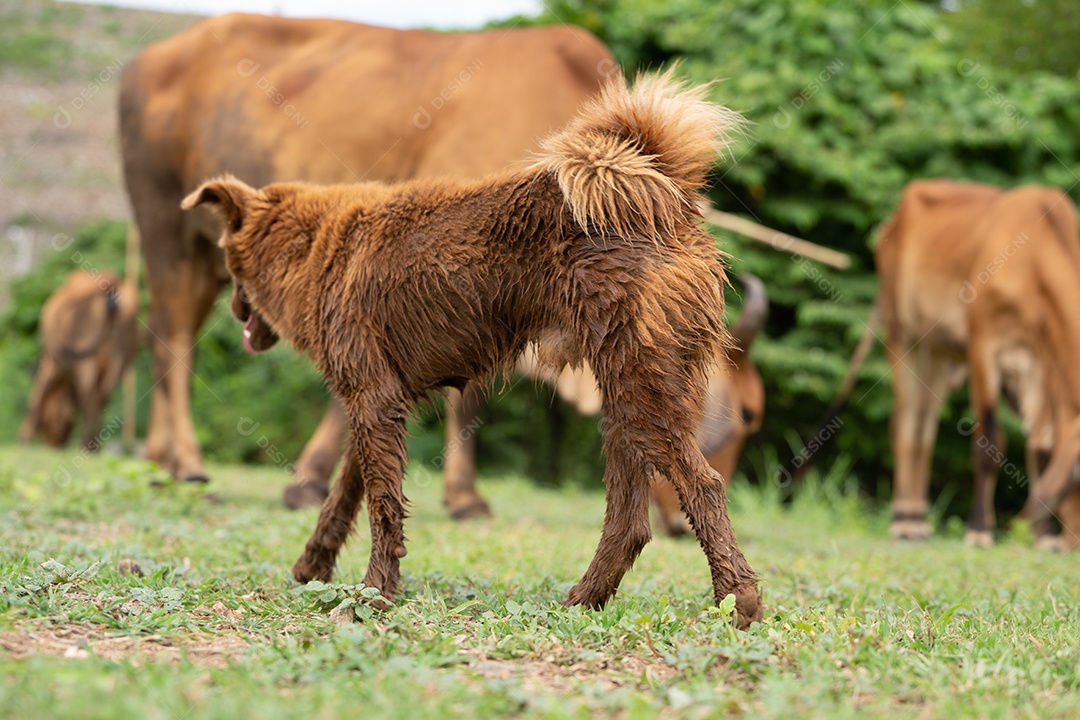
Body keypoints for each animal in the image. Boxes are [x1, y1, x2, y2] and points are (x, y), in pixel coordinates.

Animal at [19, 269, 139, 451]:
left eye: (45, 423)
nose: (53, 444)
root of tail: (111, 282)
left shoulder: (51, 366)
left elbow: (35, 401)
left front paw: (21, 441)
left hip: (83, 361)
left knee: (90, 398)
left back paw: (86, 445)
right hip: (118, 361)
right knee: (99, 400)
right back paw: (93, 446)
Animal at [185, 71, 760, 626]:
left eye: (228, 262)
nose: (234, 312)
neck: (314, 245)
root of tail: (666, 191)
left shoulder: (373, 401)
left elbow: (382, 507)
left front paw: (374, 594)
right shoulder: (376, 404)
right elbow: (344, 497)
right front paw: (314, 567)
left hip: (640, 391)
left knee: (703, 485)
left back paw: (739, 601)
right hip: (626, 398)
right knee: (629, 520)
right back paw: (585, 600)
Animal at [876, 180, 1080, 546]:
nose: (1073, 544)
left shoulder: (1040, 364)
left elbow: (1041, 444)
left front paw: (1043, 536)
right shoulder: (983, 348)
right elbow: (990, 441)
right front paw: (979, 529)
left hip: (939, 354)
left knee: (925, 426)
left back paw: (917, 519)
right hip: (902, 334)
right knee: (906, 422)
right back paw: (903, 523)